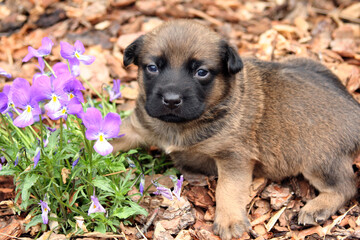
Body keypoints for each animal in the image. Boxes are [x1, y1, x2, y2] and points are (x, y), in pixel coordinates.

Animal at [114, 20, 360, 240]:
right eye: (152, 68)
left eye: (201, 72)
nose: (171, 100)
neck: (181, 125)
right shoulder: (136, 126)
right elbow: (111, 136)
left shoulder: (233, 157)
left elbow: (227, 189)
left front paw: (230, 221)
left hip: (317, 159)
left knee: (346, 187)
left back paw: (316, 208)